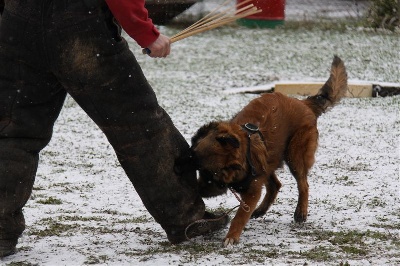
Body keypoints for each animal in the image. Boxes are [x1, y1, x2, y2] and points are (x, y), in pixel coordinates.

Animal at [190, 55, 346, 246]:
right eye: (200, 172)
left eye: (213, 179)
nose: (197, 191)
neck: (242, 149)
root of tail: (303, 103)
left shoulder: (252, 191)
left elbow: (240, 215)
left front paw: (231, 237)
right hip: (270, 159)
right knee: (275, 185)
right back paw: (261, 210)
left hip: (294, 155)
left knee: (303, 184)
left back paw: (300, 211)